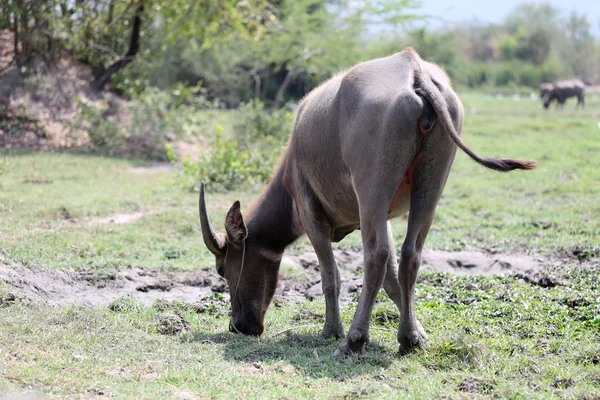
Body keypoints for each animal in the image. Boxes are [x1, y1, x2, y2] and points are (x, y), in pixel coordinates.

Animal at [199, 47, 536, 356]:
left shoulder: (311, 214)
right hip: (429, 183)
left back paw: (353, 339)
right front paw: (418, 331)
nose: (238, 326)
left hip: (371, 188)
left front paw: (331, 330)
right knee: (410, 254)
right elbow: (393, 280)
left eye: (222, 269)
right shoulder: (381, 216)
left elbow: (331, 275)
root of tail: (414, 71)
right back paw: (407, 339)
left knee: (376, 256)